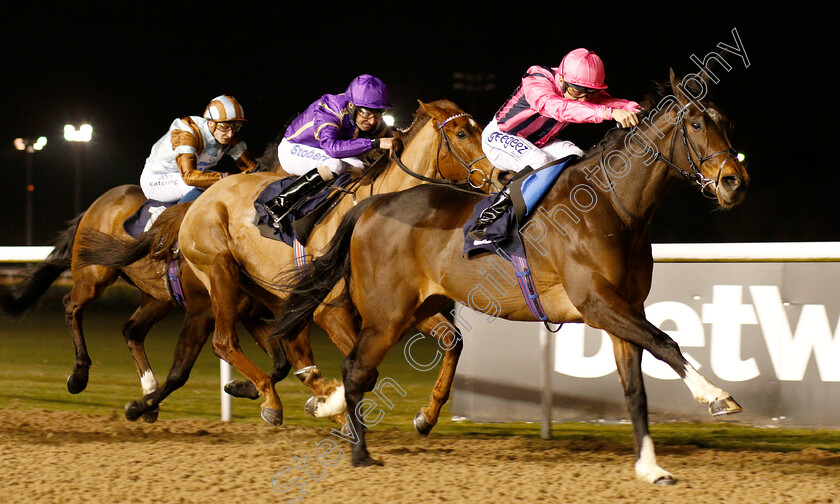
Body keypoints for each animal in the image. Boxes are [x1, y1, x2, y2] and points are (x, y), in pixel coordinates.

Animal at [272, 71, 752, 484]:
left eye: (728, 123)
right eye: (695, 123)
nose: (735, 182)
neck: (612, 206)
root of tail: (369, 206)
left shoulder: (623, 310)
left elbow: (636, 391)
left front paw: (651, 468)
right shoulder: (598, 303)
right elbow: (665, 342)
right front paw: (716, 396)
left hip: (420, 306)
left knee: (376, 362)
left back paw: (339, 409)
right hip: (386, 314)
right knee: (356, 367)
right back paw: (359, 451)